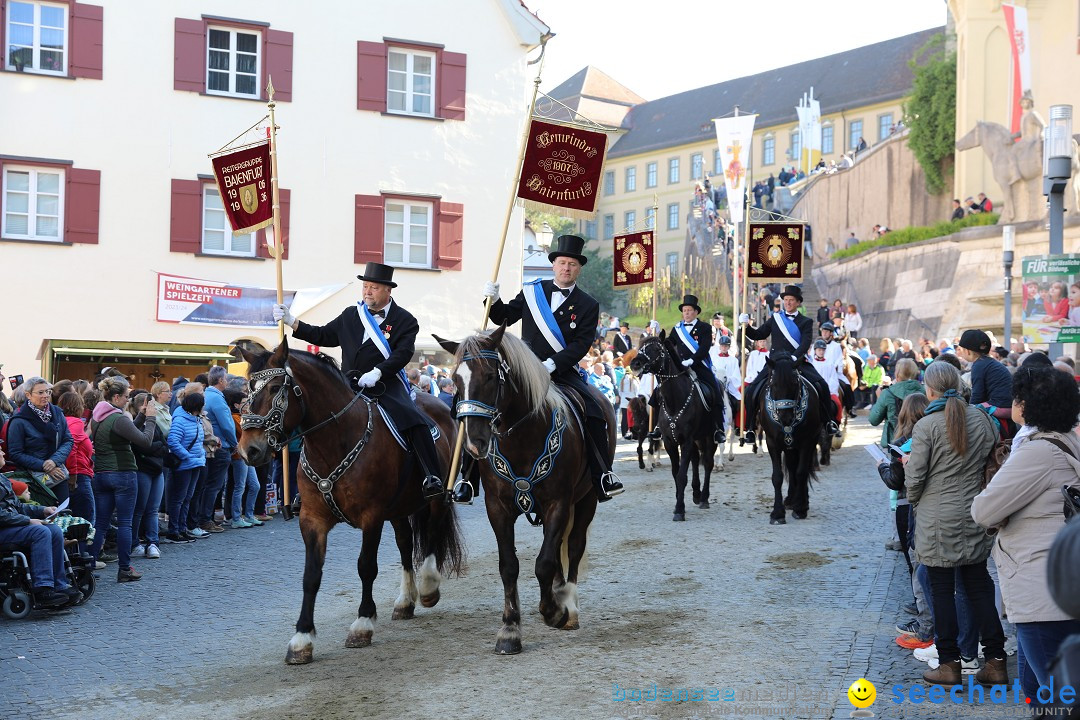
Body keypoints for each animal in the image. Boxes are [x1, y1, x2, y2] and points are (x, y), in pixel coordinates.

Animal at [232, 341, 460, 669]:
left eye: (276, 388)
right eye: (248, 389)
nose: (249, 450)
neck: (333, 441)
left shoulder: (371, 517)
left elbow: (366, 567)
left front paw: (362, 625)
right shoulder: (312, 520)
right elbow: (311, 575)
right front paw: (302, 639)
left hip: (436, 496)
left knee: (431, 533)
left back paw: (428, 586)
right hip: (399, 507)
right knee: (406, 543)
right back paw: (406, 601)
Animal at [436, 330, 609, 656]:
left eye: (490, 376)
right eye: (455, 379)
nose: (475, 443)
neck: (522, 437)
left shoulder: (558, 503)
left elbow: (543, 563)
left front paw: (555, 612)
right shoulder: (497, 508)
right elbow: (509, 566)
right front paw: (510, 630)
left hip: (587, 499)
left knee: (574, 546)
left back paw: (569, 606)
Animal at [626, 334, 717, 520]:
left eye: (657, 349)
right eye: (641, 348)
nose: (635, 364)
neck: (675, 401)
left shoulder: (686, 440)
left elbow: (682, 475)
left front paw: (680, 510)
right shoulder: (670, 441)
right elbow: (676, 472)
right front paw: (678, 502)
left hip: (708, 436)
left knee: (708, 463)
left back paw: (704, 497)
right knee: (696, 459)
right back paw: (696, 493)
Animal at [760, 354, 816, 524]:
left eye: (795, 384)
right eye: (773, 384)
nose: (786, 419)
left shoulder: (807, 442)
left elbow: (801, 472)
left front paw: (800, 509)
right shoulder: (772, 443)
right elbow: (777, 477)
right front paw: (777, 513)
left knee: (800, 469)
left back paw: (800, 501)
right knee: (791, 467)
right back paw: (792, 499)